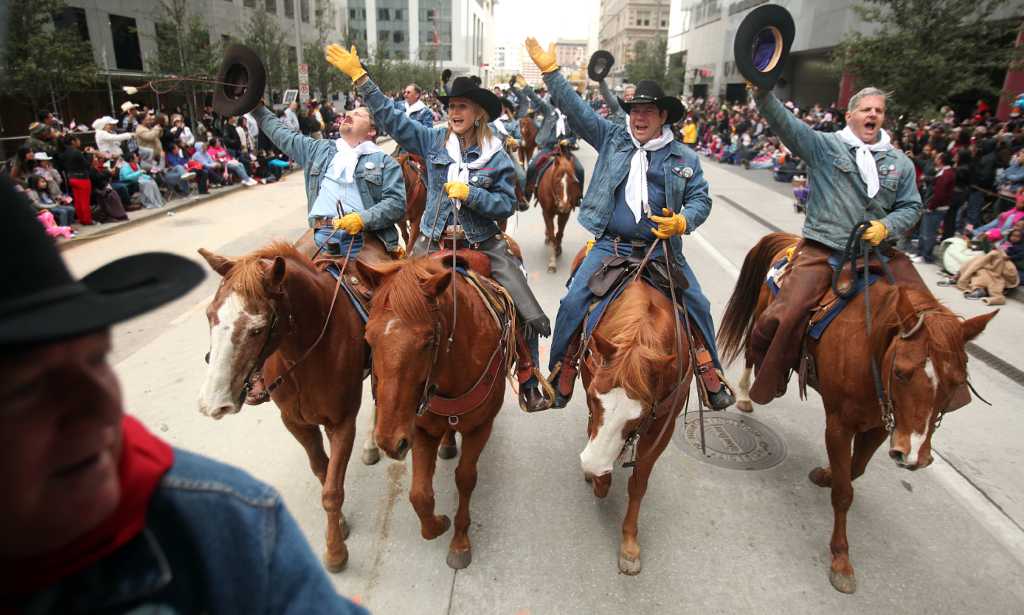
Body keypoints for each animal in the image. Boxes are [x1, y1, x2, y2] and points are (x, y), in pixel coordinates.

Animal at [195, 236, 387, 568]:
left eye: (257, 329)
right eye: (210, 315)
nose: (213, 402)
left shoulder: (342, 423)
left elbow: (332, 490)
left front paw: (335, 551)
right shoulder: (296, 422)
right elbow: (323, 471)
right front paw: (339, 524)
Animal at [356, 255, 512, 568]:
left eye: (428, 341)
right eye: (369, 338)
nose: (389, 442)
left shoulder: (480, 428)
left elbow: (465, 478)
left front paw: (460, 541)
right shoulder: (420, 429)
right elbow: (419, 495)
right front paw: (438, 524)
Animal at [581, 274, 692, 577]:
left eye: (639, 418)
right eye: (594, 397)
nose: (592, 464)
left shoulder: (662, 426)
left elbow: (639, 482)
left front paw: (629, 545)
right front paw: (599, 480)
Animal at [716, 229, 995, 589]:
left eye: (956, 382)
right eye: (901, 373)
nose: (914, 456)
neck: (871, 347)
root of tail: (790, 240)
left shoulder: (880, 426)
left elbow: (855, 469)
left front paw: (827, 473)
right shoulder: (839, 425)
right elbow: (844, 492)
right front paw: (841, 560)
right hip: (765, 320)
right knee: (754, 347)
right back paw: (745, 395)